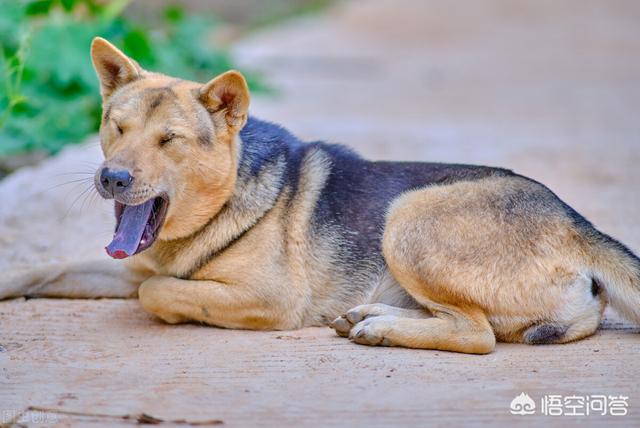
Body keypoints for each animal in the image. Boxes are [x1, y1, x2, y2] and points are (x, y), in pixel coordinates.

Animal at [2, 36, 636, 352]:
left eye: (169, 140)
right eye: (117, 127)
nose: (112, 178)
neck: (221, 203)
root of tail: (577, 223)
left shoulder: (270, 299)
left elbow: (156, 292)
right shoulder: (128, 263)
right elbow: (45, 270)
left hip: (408, 217)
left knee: (477, 335)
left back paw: (382, 328)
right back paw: (371, 313)